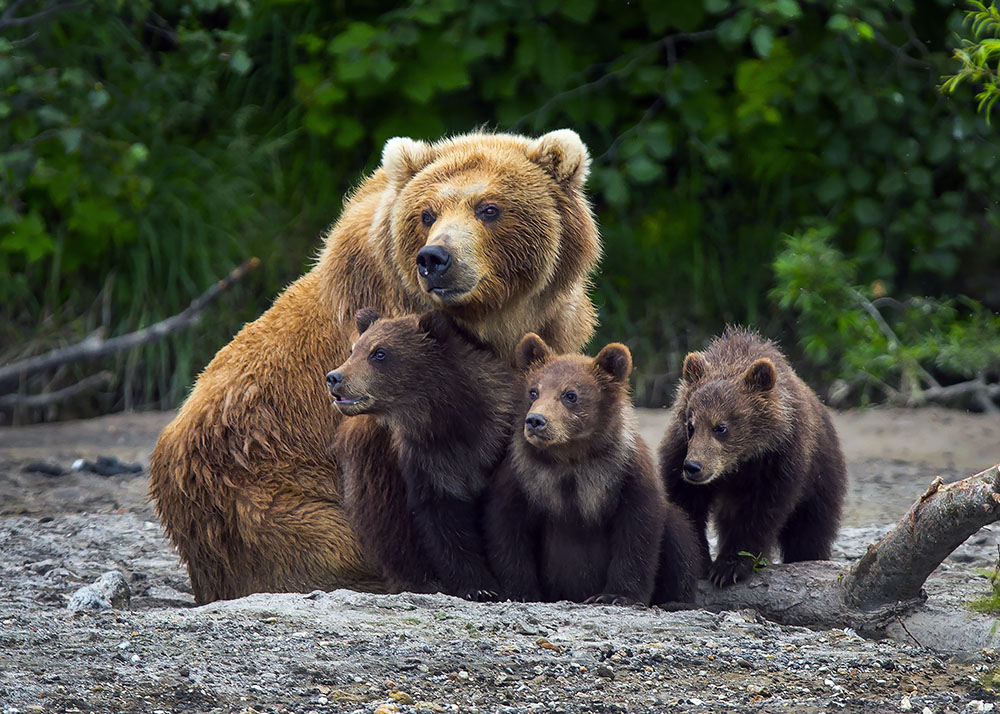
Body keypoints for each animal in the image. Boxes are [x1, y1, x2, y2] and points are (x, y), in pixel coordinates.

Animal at [328, 308, 512, 600]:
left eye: (379, 353)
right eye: (353, 349)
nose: (334, 377)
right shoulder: (427, 462)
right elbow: (443, 524)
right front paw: (478, 586)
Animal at [488, 330, 700, 604]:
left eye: (570, 394)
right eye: (534, 391)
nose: (536, 421)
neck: (570, 457)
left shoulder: (624, 472)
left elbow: (638, 530)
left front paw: (617, 595)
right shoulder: (523, 475)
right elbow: (507, 528)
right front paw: (522, 591)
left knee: (678, 532)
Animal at [660, 326, 848, 588]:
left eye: (721, 427)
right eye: (691, 425)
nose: (693, 467)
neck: (740, 462)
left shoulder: (780, 458)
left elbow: (762, 512)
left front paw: (728, 567)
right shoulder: (680, 450)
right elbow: (686, 504)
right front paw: (700, 560)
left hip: (822, 476)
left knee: (811, 529)